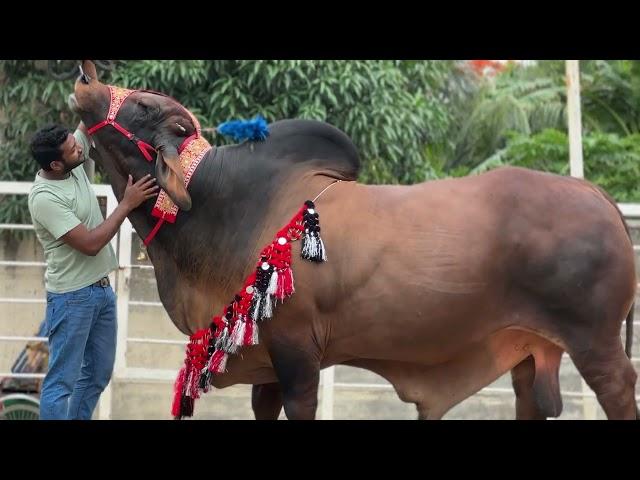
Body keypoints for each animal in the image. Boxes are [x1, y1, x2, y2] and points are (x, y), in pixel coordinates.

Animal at [74, 61, 636, 420]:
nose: (85, 79)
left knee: (619, 389)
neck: (225, 204)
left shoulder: (297, 355)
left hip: (596, 343)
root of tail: (595, 193)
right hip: (531, 353)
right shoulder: (265, 365)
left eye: (146, 105)